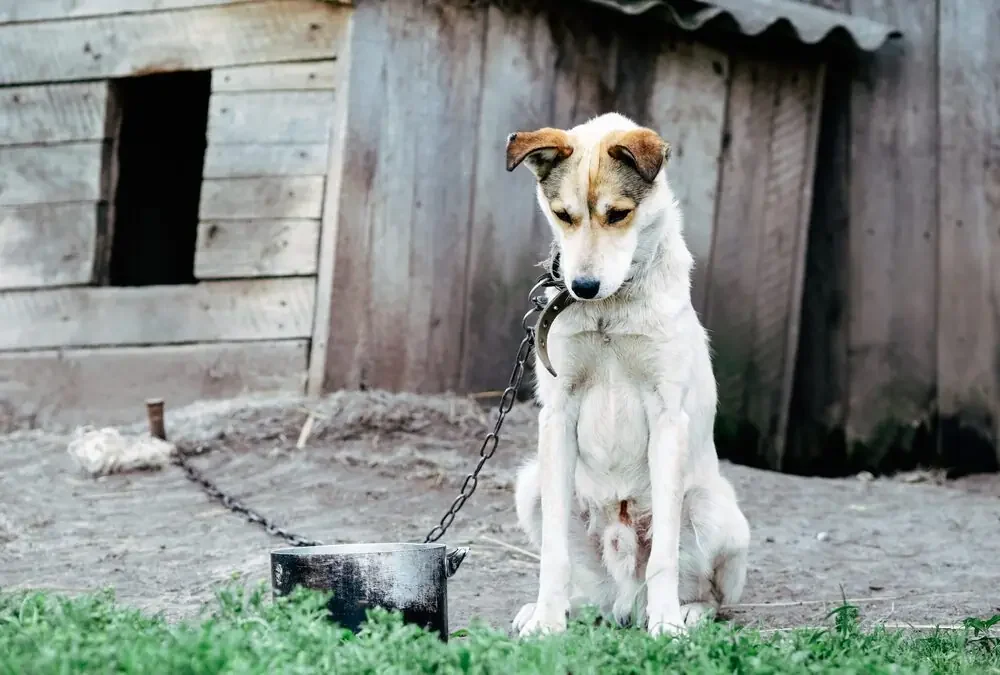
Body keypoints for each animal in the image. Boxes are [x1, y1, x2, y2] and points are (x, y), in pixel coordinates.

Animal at [508, 112, 752, 640]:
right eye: (563, 215)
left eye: (618, 214)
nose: (582, 286)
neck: (609, 310)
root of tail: (625, 598)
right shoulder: (557, 414)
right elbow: (553, 555)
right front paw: (546, 622)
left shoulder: (667, 417)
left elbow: (664, 556)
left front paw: (667, 625)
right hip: (532, 484)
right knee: (590, 590)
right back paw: (560, 610)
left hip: (714, 509)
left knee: (710, 594)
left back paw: (682, 611)